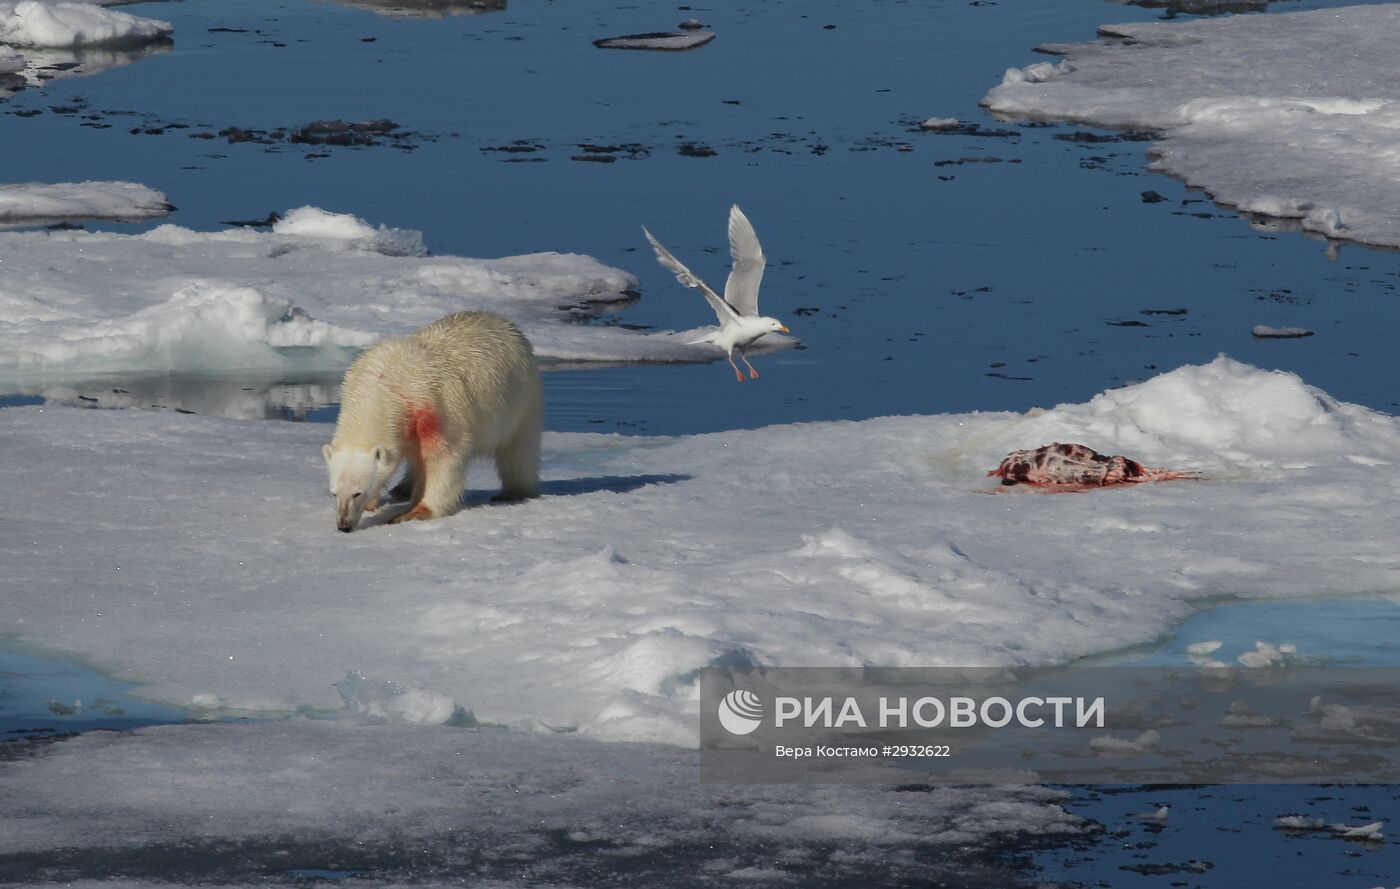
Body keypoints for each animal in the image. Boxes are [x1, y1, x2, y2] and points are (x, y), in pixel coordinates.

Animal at [324, 310, 543, 532]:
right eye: (333, 493)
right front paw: (375, 503)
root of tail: (504, 322)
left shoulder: (434, 408)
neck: (384, 384)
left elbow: (445, 457)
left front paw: (414, 512)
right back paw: (402, 488)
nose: (344, 525)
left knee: (519, 450)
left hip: (521, 399)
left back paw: (514, 492)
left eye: (357, 493)